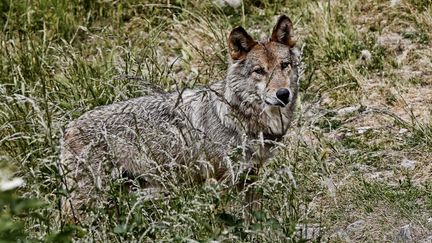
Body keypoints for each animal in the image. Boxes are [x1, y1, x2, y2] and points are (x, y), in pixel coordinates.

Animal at [60, 14, 300, 220]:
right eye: (259, 71)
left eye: (284, 65)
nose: (283, 94)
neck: (241, 116)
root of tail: (68, 128)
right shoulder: (220, 181)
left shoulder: (250, 176)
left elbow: (251, 219)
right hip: (90, 199)